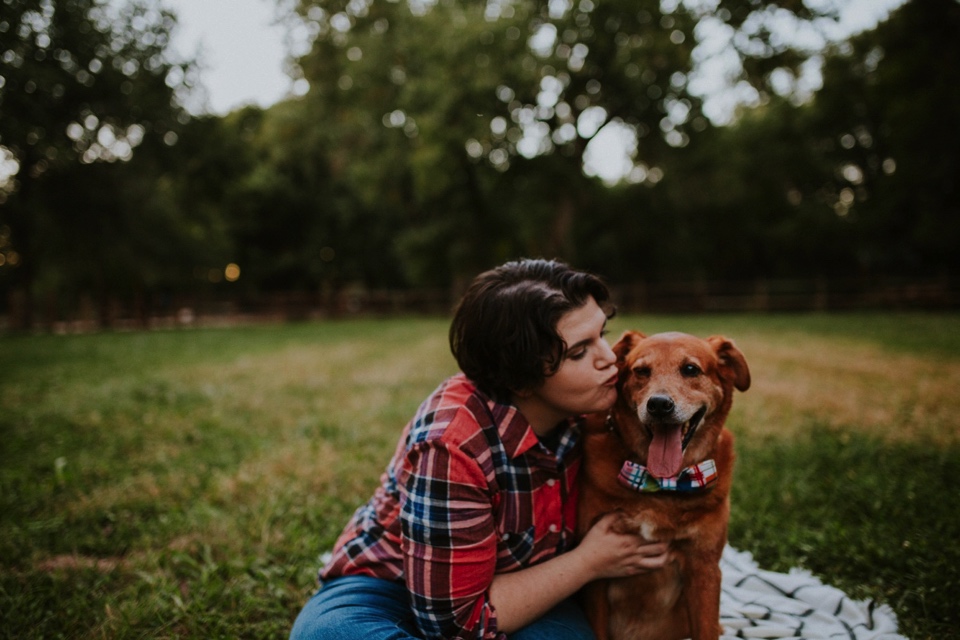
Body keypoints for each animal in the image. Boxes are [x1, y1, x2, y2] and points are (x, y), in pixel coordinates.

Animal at [576, 330, 752, 640]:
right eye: (641, 371)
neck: (662, 484)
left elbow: (706, 628)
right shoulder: (594, 573)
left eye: (691, 369)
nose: (658, 404)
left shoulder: (704, 569)